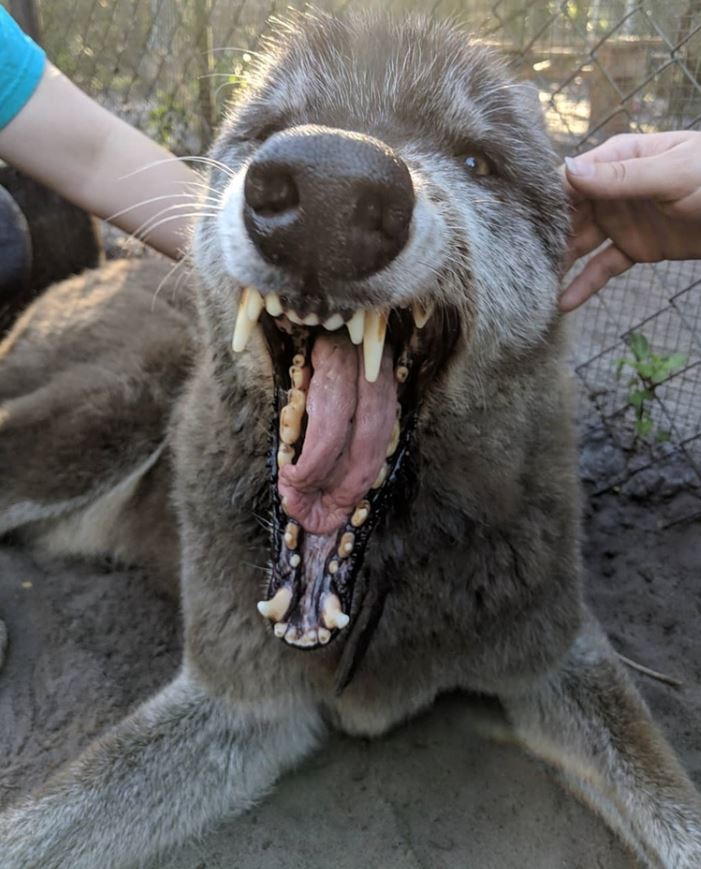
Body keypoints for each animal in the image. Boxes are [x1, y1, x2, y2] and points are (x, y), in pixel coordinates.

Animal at [0, 10, 696, 864]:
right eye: (274, 129)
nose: (327, 189)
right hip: (111, 412)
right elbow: (38, 824)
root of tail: (88, 274)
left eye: (477, 159)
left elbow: (676, 813)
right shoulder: (239, 700)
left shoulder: (560, 653)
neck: (373, 576)